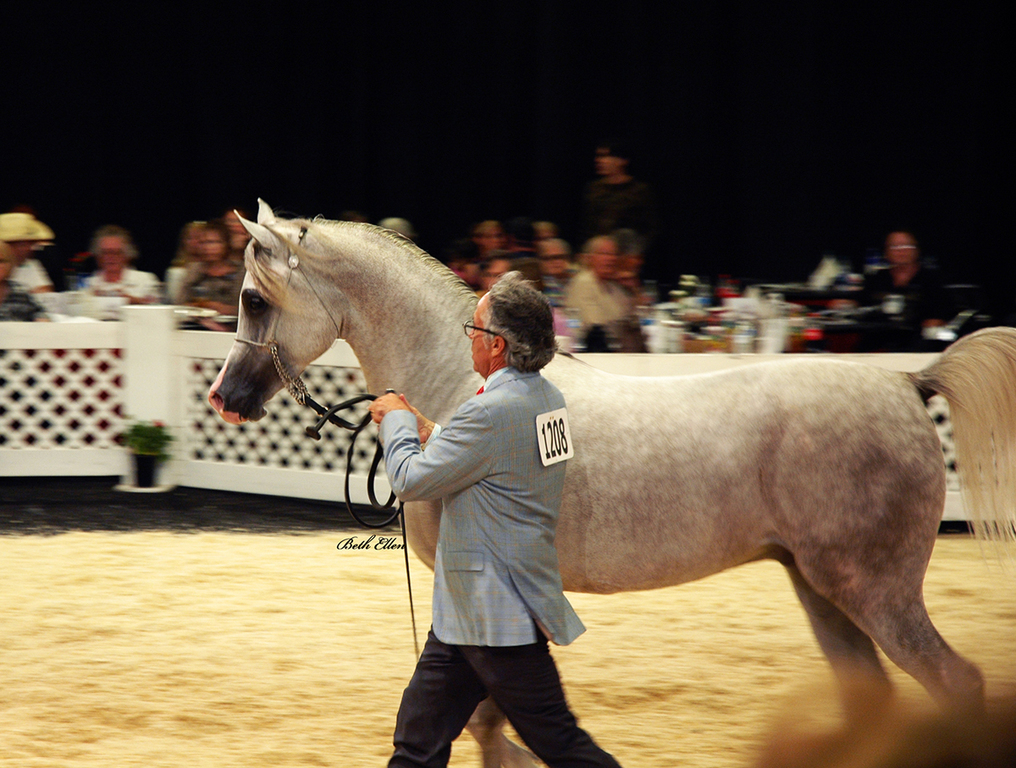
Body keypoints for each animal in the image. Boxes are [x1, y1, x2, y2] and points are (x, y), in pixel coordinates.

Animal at [209, 200, 1016, 767]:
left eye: (253, 299)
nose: (224, 398)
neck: (458, 384)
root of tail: (907, 382)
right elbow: (493, 723)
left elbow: (489, 724)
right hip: (822, 591)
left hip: (875, 591)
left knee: (956, 685)